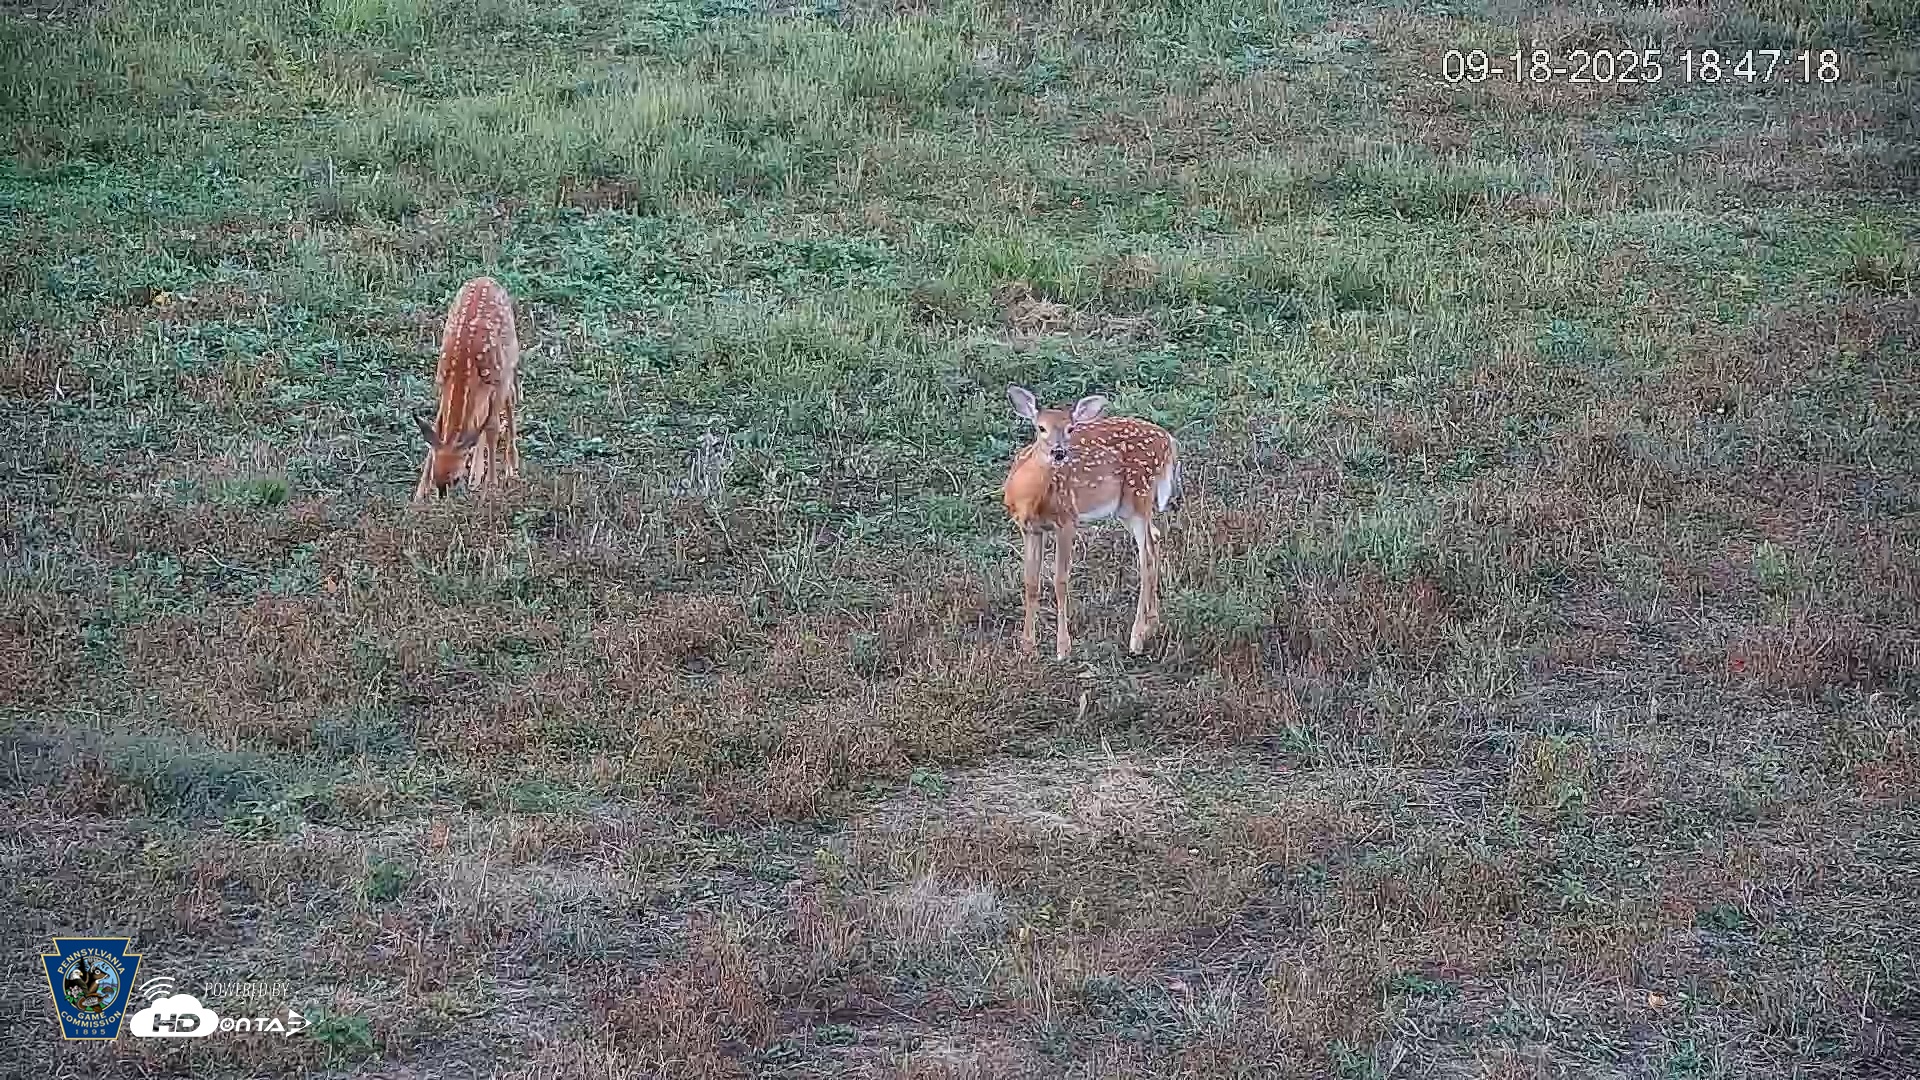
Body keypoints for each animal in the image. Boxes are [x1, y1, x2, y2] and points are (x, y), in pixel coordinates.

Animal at [413, 275, 521, 502]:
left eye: (455, 478)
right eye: (435, 474)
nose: (442, 496)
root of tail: (487, 278)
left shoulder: (496, 384)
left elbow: (492, 428)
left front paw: (492, 485)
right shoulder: (442, 385)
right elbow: (438, 425)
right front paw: (419, 492)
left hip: (509, 364)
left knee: (511, 399)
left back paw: (511, 466)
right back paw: (476, 476)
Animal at [1002, 385, 1181, 661]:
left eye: (1070, 429)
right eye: (1040, 428)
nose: (1058, 452)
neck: (1030, 499)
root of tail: (1169, 441)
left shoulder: (1067, 520)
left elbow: (1060, 581)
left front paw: (1063, 648)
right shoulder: (1029, 528)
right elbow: (1031, 582)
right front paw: (1027, 646)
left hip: (1139, 495)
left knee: (1147, 557)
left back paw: (1137, 638)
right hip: (1126, 509)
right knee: (1156, 537)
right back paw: (1153, 623)